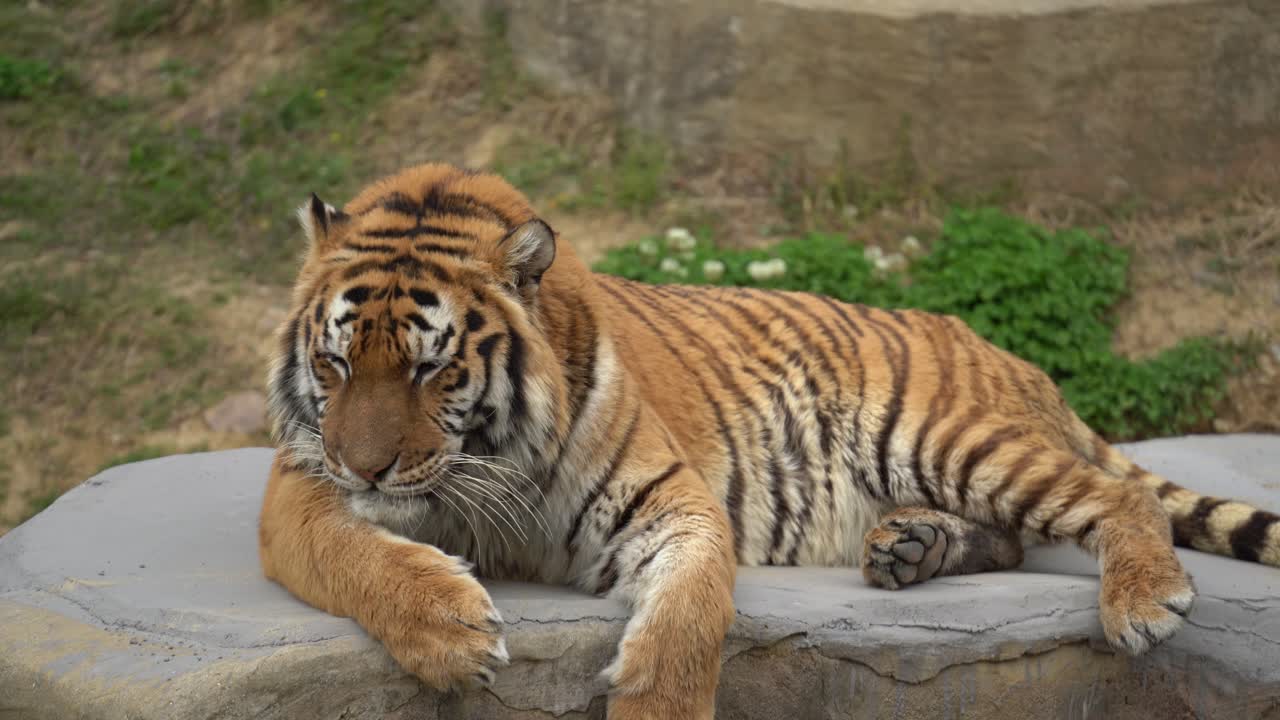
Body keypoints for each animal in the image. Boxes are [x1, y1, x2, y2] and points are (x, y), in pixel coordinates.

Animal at [257, 163, 1280, 720]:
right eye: (337, 362)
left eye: (431, 370)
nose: (364, 466)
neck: (487, 464)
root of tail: (1010, 354)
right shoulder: (297, 484)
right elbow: (350, 549)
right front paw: (449, 629)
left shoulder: (671, 501)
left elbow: (686, 621)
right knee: (1018, 537)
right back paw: (910, 548)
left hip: (943, 434)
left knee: (1118, 496)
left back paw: (1142, 601)